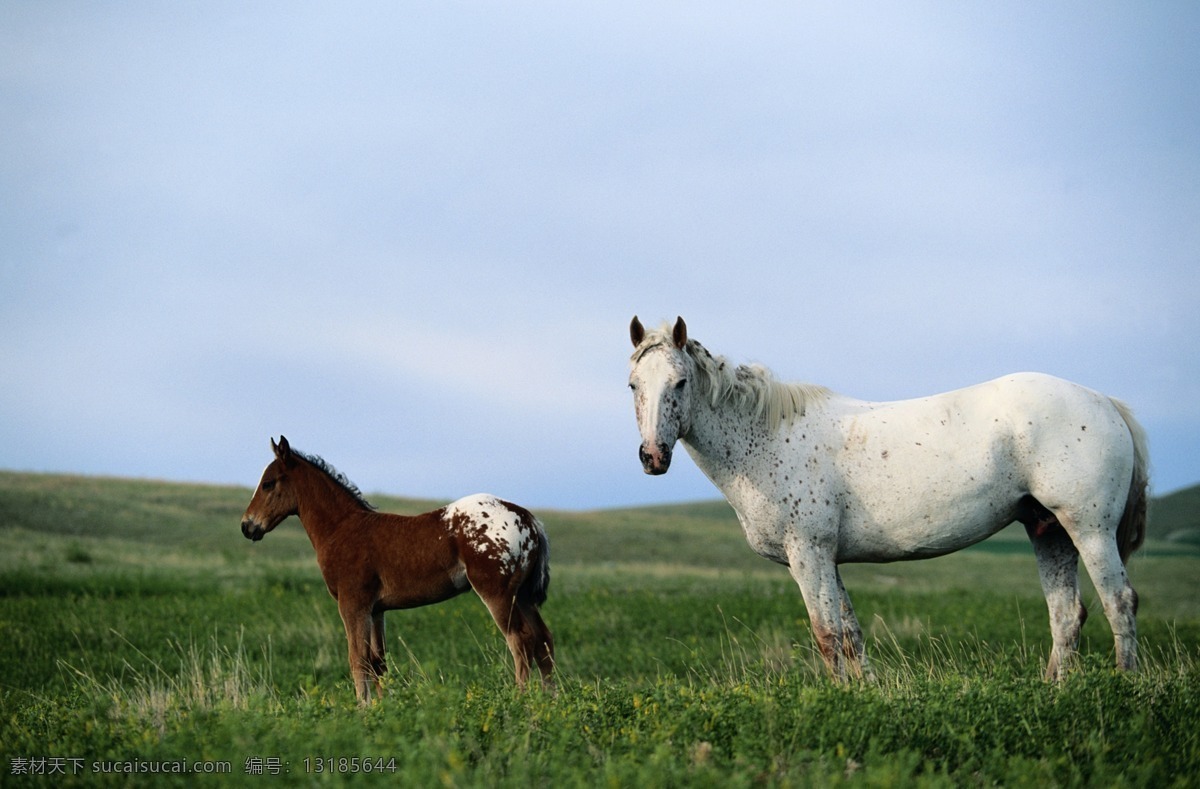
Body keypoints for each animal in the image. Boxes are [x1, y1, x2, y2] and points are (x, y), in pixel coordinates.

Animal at [628, 314, 1142, 676]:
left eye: (680, 382)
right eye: (633, 384)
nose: (653, 456)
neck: (768, 438)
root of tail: (1105, 402)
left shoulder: (808, 555)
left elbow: (827, 634)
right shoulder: (828, 559)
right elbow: (850, 636)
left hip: (1089, 530)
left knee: (1120, 602)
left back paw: (1126, 684)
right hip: (1048, 531)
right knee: (1067, 615)